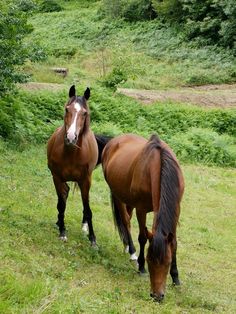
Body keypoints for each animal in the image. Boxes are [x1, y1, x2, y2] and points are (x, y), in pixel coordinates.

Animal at [101, 133, 184, 302]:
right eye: (149, 260)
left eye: (167, 262)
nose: (157, 296)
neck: (159, 164)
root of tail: (113, 141)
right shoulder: (142, 209)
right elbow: (142, 238)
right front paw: (141, 267)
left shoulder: (176, 209)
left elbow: (174, 243)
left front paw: (176, 278)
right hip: (118, 196)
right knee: (126, 222)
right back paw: (132, 251)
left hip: (128, 200)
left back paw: (127, 247)